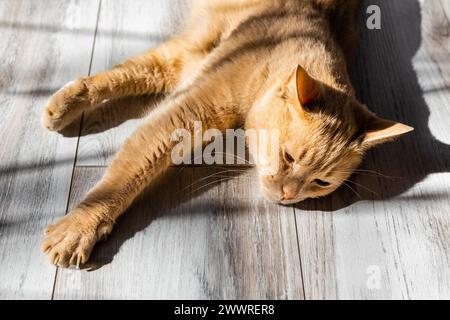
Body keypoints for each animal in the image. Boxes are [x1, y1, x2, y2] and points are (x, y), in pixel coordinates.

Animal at [41, 0, 412, 268]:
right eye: (289, 157)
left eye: (321, 182)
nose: (289, 194)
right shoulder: (182, 111)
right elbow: (124, 175)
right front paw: (79, 228)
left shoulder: (186, 67)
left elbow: (127, 79)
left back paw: (61, 105)